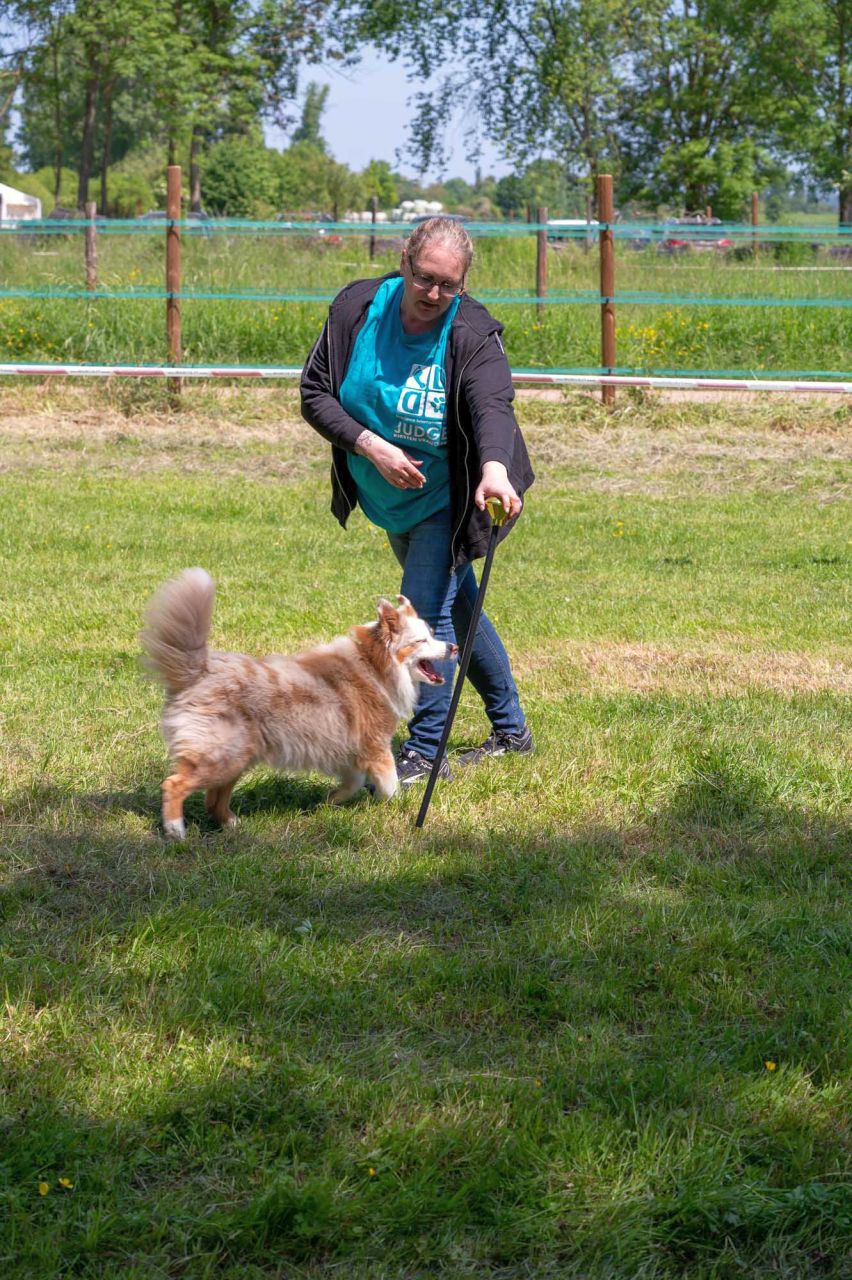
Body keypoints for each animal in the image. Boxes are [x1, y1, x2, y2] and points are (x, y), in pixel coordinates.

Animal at [142, 570, 455, 839]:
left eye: (432, 634)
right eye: (421, 640)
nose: (453, 647)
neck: (374, 665)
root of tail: (198, 670)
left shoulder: (351, 749)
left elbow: (352, 783)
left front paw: (328, 802)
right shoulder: (376, 746)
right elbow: (390, 786)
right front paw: (398, 808)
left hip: (237, 757)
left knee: (213, 799)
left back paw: (232, 824)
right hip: (220, 756)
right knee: (174, 784)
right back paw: (176, 830)